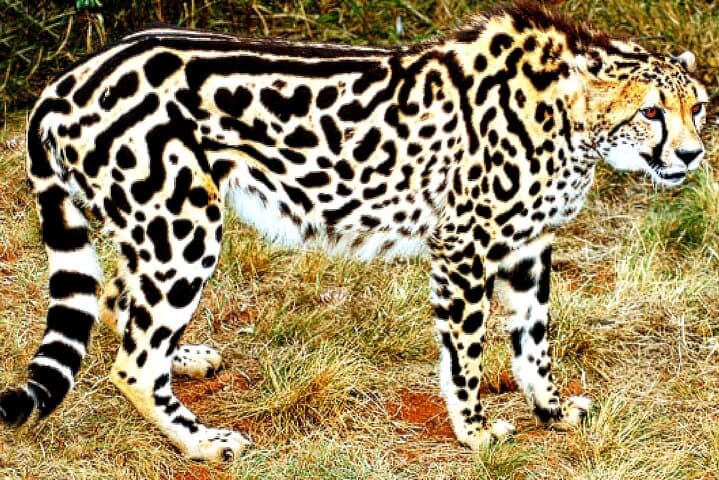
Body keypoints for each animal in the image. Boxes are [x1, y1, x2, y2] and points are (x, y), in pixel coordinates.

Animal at [0, 2, 708, 462]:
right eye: (651, 113)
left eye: (697, 106)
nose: (693, 154)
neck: (569, 114)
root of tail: (67, 81)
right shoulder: (463, 245)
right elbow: (466, 354)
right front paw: (476, 431)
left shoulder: (529, 247)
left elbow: (534, 344)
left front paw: (553, 411)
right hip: (183, 225)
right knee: (133, 362)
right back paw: (203, 441)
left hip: (152, 229)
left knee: (121, 302)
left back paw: (187, 358)